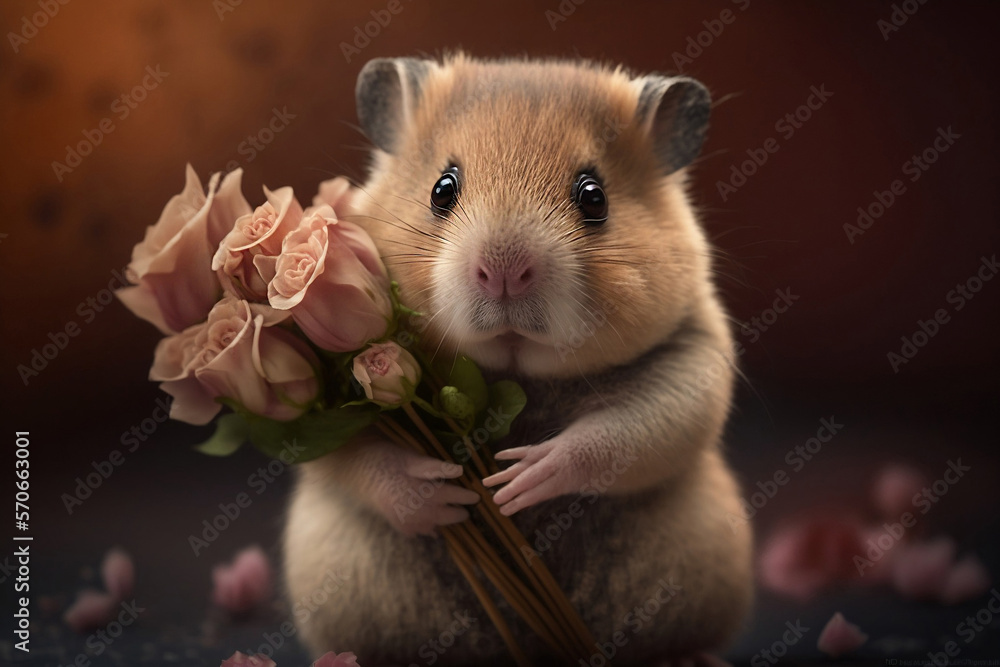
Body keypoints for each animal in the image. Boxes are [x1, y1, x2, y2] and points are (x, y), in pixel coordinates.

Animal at [283, 53, 753, 665]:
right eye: (442, 189)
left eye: (594, 197)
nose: (503, 271)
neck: (515, 372)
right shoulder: (321, 412)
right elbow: (358, 459)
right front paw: (449, 494)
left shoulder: (694, 358)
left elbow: (628, 432)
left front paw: (518, 479)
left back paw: (686, 656)